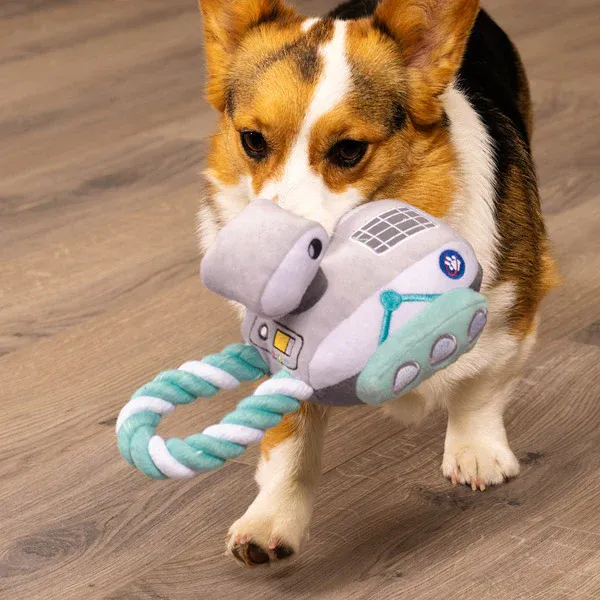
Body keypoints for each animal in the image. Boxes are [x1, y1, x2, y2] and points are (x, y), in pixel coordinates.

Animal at [196, 0, 556, 564]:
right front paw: (270, 519)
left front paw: (476, 452)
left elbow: (480, 386)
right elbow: (289, 439)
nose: (263, 258)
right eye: (252, 141)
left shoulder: (516, 306)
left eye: (348, 150)